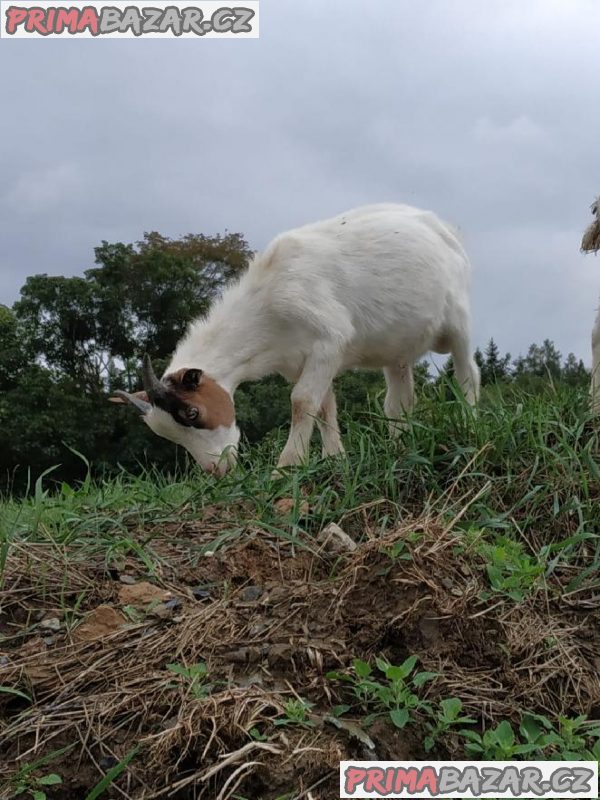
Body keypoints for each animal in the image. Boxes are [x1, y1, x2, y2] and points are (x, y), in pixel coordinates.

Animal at [111, 203, 478, 476]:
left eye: (192, 412)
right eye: (166, 432)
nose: (218, 470)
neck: (268, 298)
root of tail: (442, 227)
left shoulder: (329, 341)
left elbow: (302, 402)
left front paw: (285, 468)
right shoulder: (304, 360)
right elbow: (324, 407)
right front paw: (335, 460)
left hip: (458, 320)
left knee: (468, 373)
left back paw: (469, 423)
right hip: (397, 348)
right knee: (399, 400)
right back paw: (400, 446)